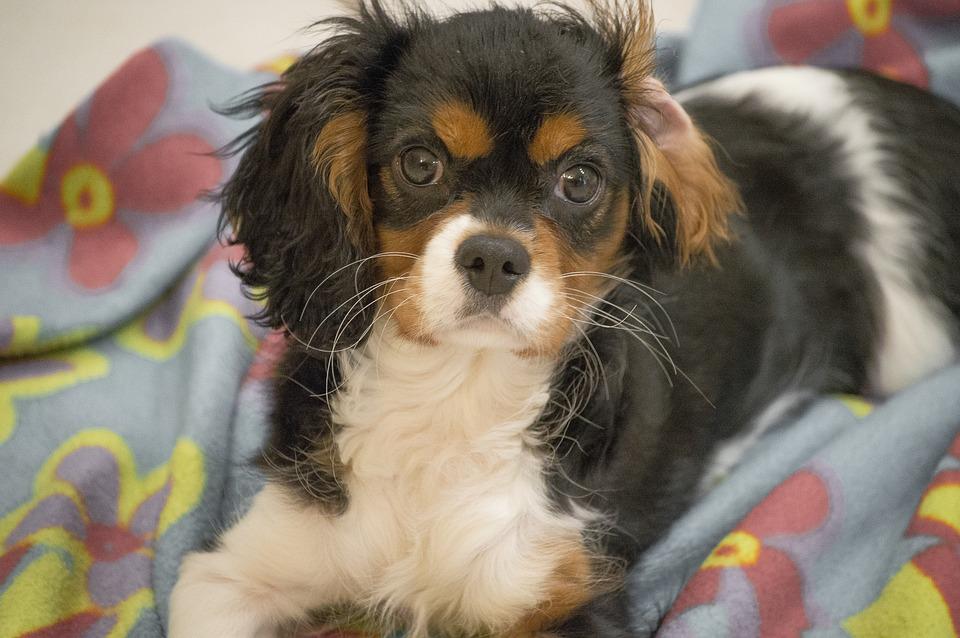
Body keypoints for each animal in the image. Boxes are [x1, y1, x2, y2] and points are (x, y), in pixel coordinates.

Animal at [169, 2, 960, 636]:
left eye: (579, 180)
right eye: (420, 163)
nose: (493, 256)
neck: (455, 392)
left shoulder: (567, 591)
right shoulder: (240, 570)